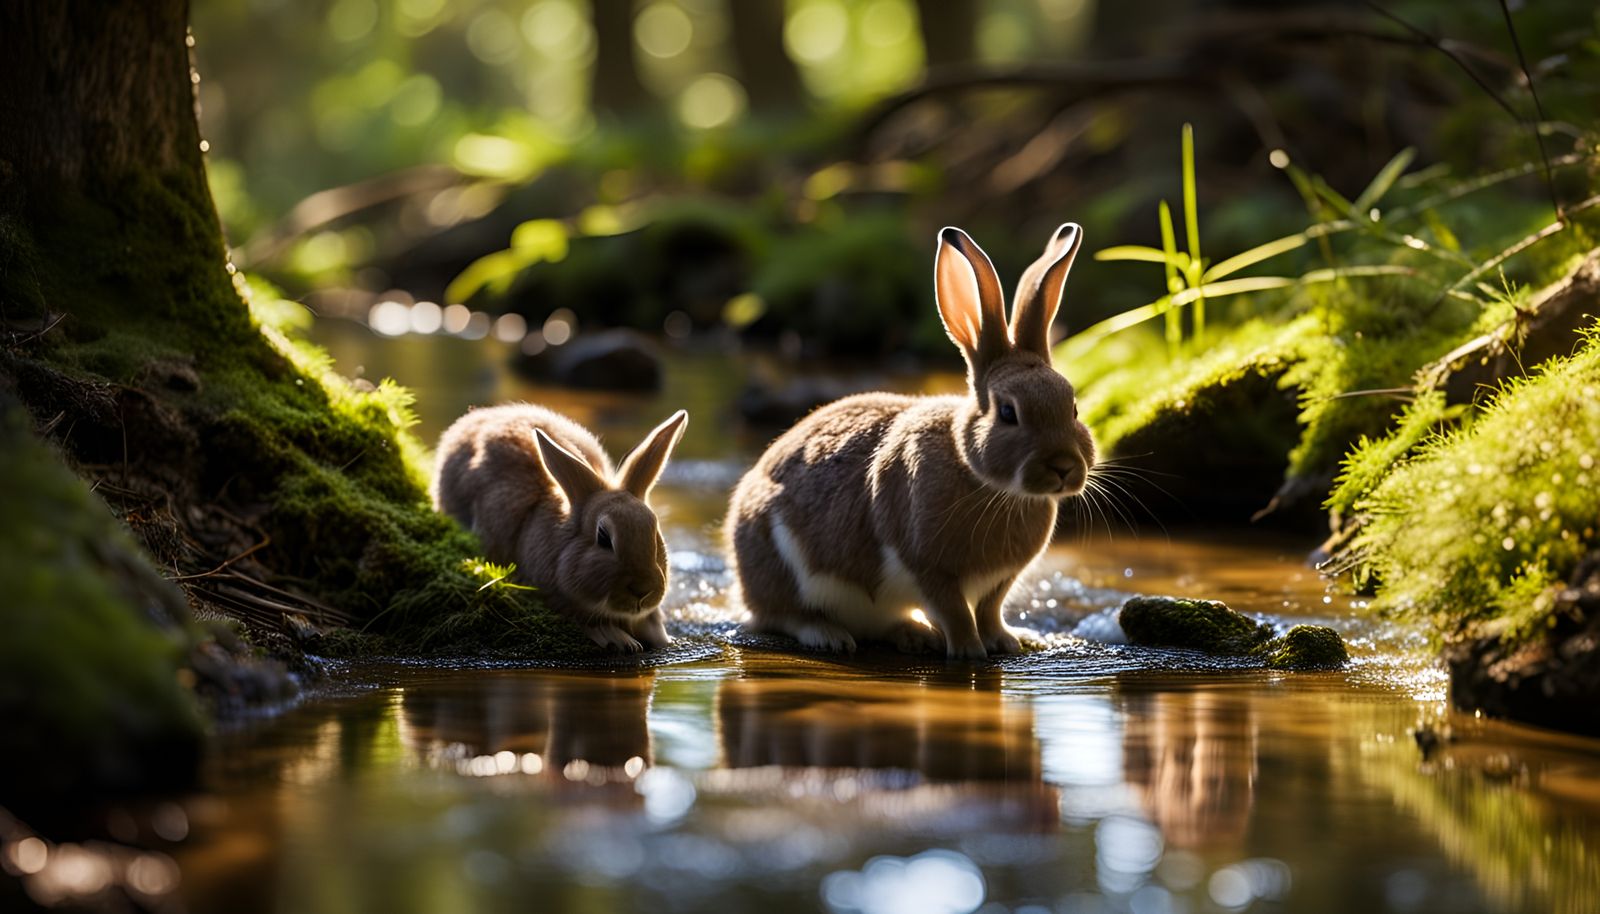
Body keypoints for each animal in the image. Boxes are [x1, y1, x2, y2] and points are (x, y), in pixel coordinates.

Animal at [724, 224, 1094, 660]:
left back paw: (914, 633)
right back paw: (830, 635)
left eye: (1073, 407)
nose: (1063, 466)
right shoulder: (928, 568)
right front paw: (969, 651)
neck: (984, 480)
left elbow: (989, 609)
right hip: (776, 564)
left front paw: (1004, 642)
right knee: (783, 615)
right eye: (1008, 412)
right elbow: (955, 612)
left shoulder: (999, 581)